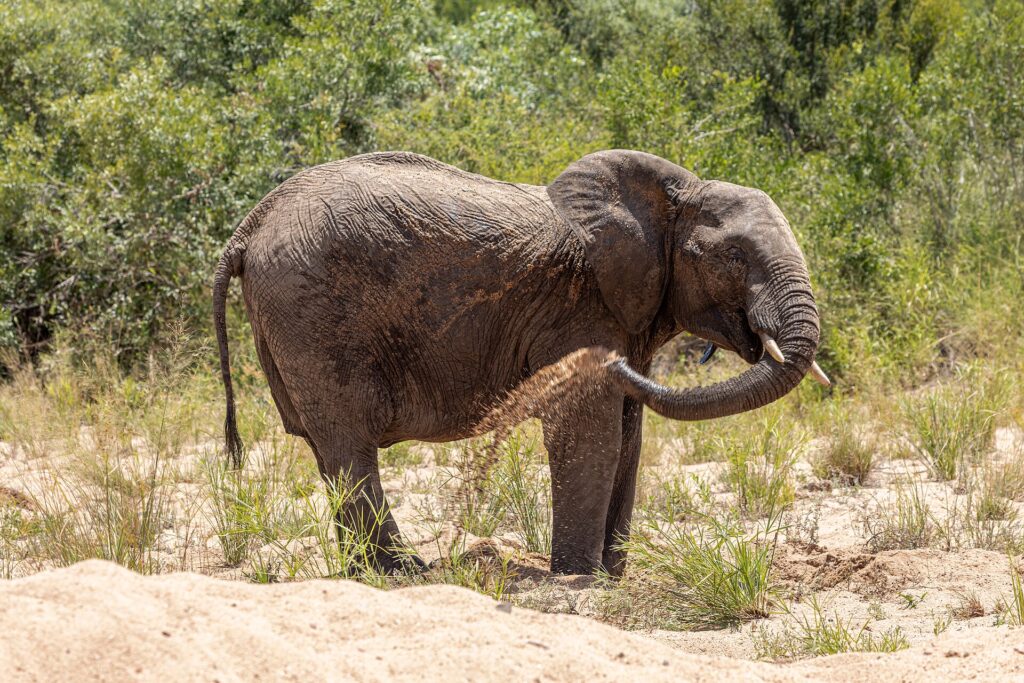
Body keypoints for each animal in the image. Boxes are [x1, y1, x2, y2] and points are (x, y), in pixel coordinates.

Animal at [212, 150, 828, 576]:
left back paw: (366, 572)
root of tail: (249, 226)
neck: (671, 192)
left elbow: (629, 439)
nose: (607, 363)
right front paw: (580, 578)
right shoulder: (581, 307)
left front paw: (613, 576)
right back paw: (403, 573)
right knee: (348, 445)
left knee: (329, 450)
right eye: (732, 257)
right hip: (311, 309)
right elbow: (589, 434)